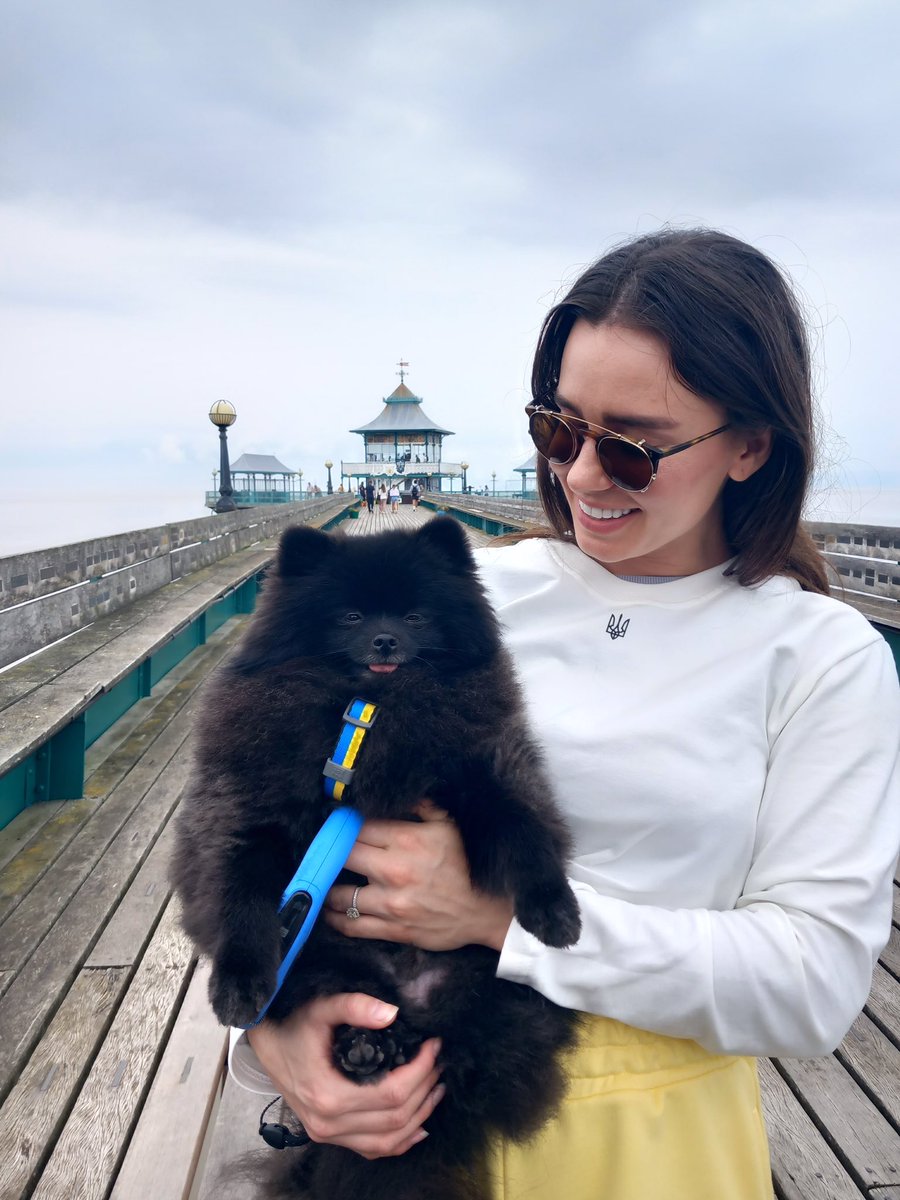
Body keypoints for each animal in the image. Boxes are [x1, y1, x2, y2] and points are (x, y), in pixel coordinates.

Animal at [171, 516, 580, 1200]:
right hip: (332, 965)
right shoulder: (246, 810)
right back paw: (366, 1048)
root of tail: (412, 996)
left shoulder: (481, 766)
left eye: (416, 616)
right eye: (352, 615)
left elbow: (523, 826)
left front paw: (555, 910)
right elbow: (239, 895)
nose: (386, 638)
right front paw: (239, 983)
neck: (368, 717)